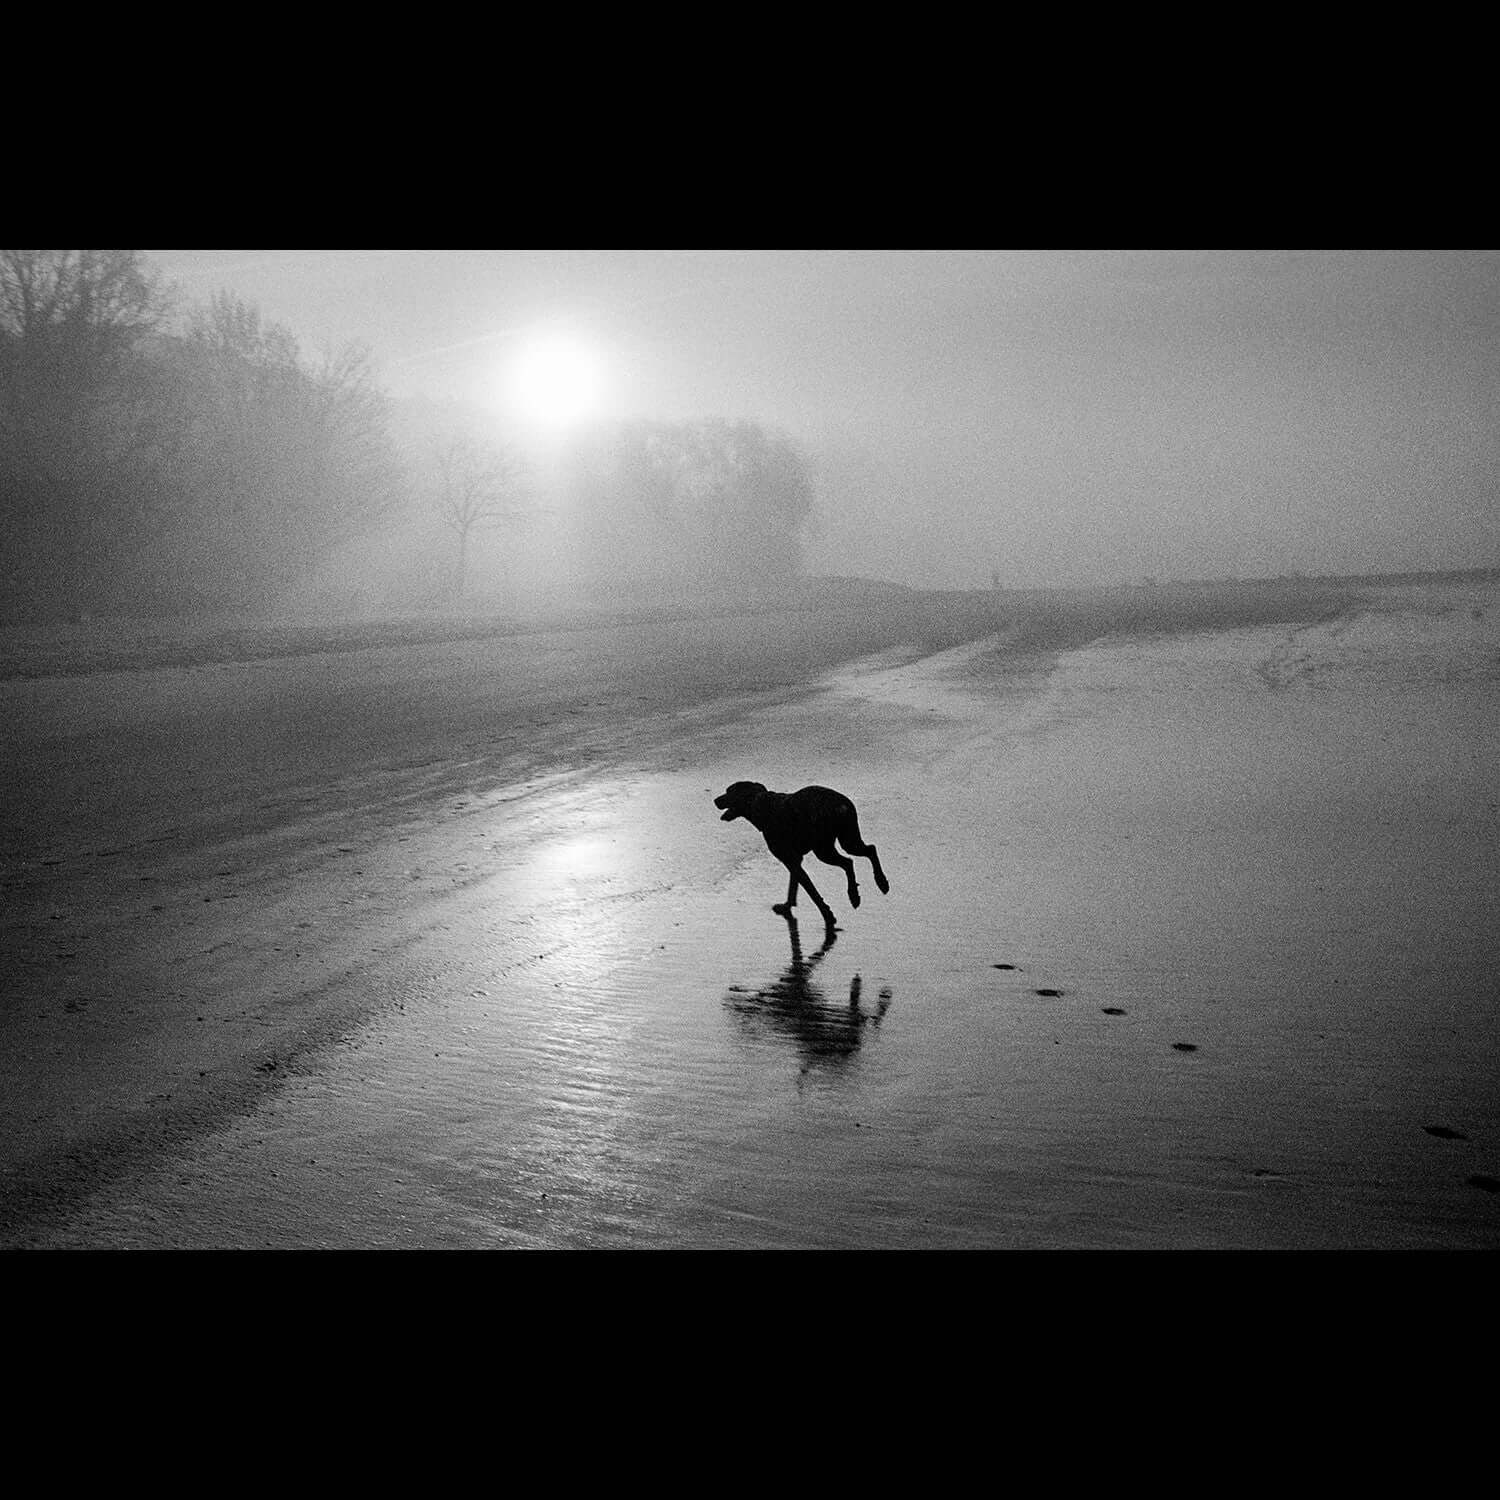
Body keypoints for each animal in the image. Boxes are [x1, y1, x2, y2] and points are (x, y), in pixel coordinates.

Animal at [714, 786, 888, 924]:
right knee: (869, 850)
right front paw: (787, 906)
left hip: (823, 850)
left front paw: (827, 914)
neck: (761, 805)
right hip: (848, 840)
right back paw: (881, 882)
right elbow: (794, 885)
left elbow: (811, 891)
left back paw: (855, 894)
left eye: (729, 791)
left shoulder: (789, 859)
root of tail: (840, 804)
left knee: (848, 862)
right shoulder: (795, 860)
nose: (715, 800)